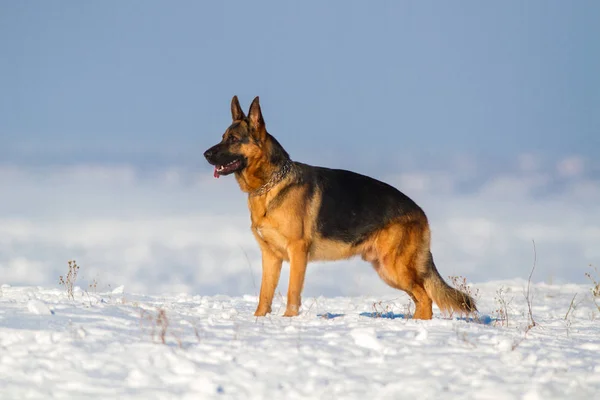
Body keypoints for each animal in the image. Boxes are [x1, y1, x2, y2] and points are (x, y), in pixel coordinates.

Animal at [204, 96, 476, 318]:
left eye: (233, 139)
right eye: (222, 137)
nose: (205, 154)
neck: (271, 184)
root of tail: (421, 212)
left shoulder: (297, 253)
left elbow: (292, 294)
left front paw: (288, 321)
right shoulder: (270, 257)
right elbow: (264, 295)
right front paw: (259, 321)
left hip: (394, 267)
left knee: (426, 299)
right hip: (387, 270)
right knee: (422, 298)